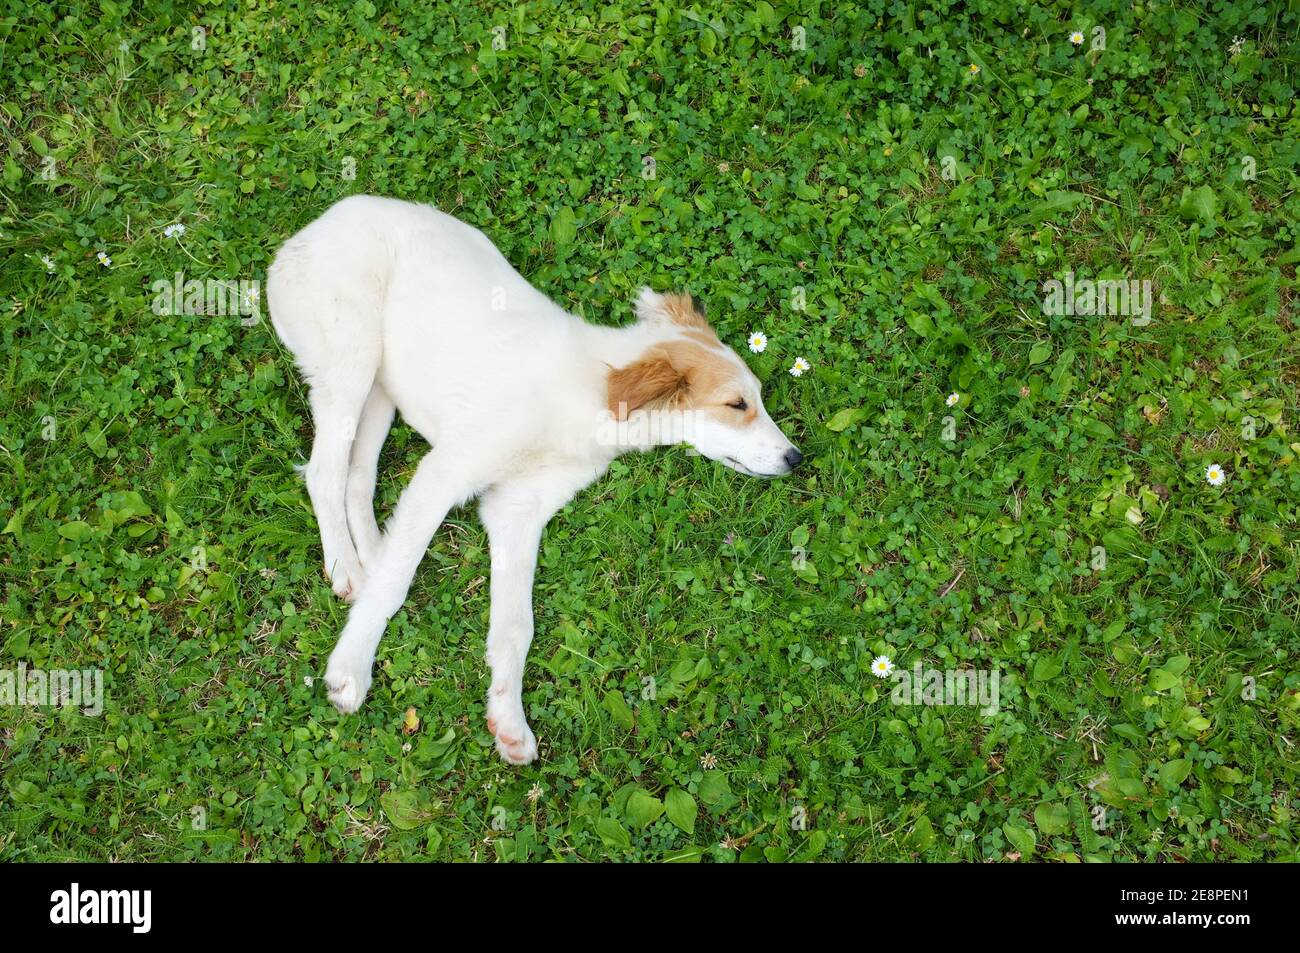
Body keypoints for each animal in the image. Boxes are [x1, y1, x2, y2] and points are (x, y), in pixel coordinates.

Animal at [266, 195, 800, 764]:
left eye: (757, 399)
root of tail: (313, 227)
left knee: (357, 477)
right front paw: (350, 668)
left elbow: (516, 625)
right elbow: (397, 582)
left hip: (381, 393)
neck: (581, 395)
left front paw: (508, 720)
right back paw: (346, 567)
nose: (795, 458)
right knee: (325, 472)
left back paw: (368, 552)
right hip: (352, 357)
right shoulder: (446, 471)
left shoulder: (516, 510)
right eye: (736, 405)